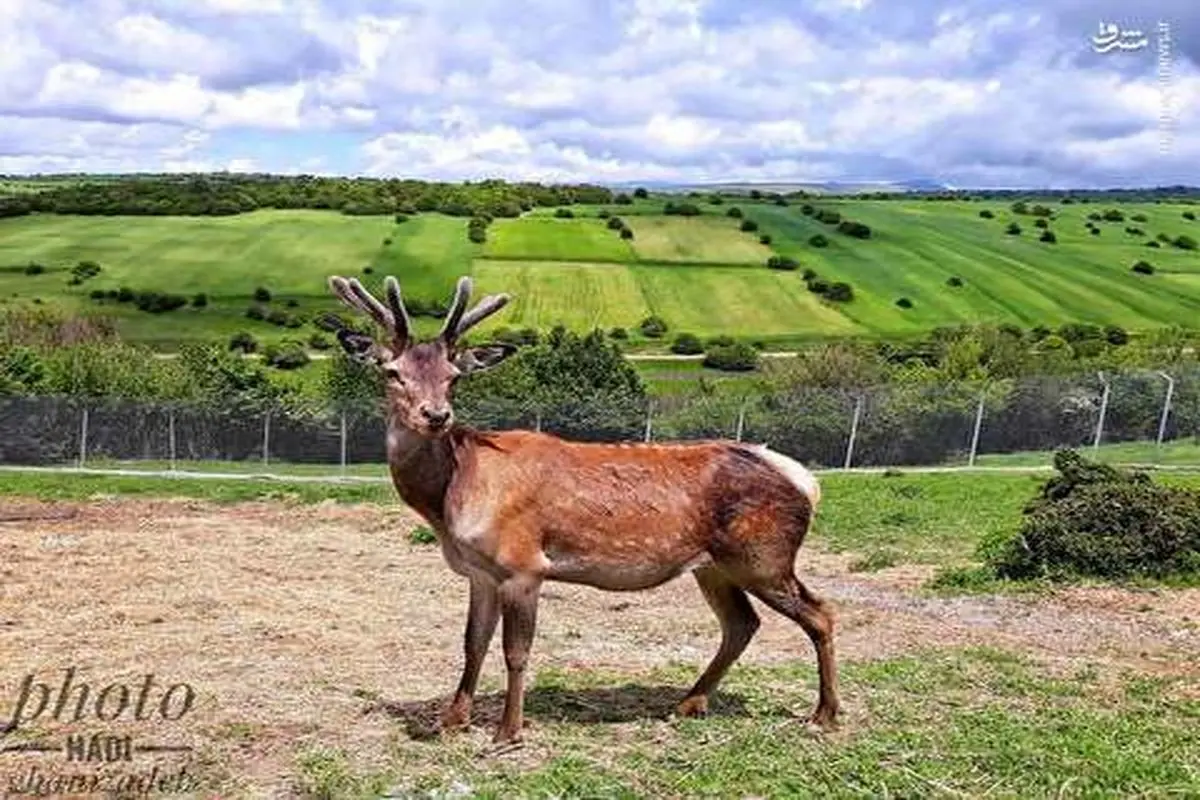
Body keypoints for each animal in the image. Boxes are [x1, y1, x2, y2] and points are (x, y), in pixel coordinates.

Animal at [324, 273, 840, 743]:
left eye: (453, 378)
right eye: (392, 372)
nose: (436, 415)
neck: (454, 496)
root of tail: (803, 479)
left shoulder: (523, 564)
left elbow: (516, 652)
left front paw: (508, 732)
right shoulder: (480, 572)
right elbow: (473, 643)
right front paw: (453, 720)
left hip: (764, 554)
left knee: (820, 613)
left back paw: (824, 715)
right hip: (715, 565)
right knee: (741, 624)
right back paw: (688, 703)